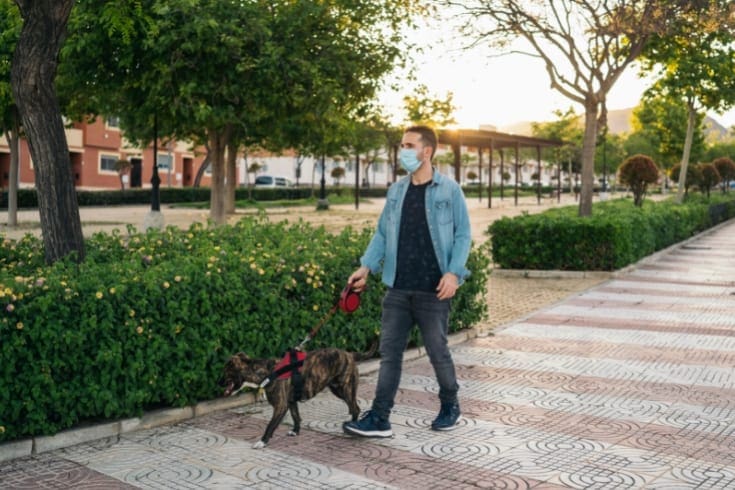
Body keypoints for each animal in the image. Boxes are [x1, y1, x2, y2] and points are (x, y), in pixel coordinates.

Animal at [217, 346, 368, 450]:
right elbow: (296, 416)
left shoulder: (280, 406)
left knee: (355, 408)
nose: (218, 382)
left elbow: (270, 425)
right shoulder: (290, 401)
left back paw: (352, 426)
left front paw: (262, 441)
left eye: (226, 372)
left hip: (343, 389)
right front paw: (296, 431)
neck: (266, 373)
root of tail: (349, 354)